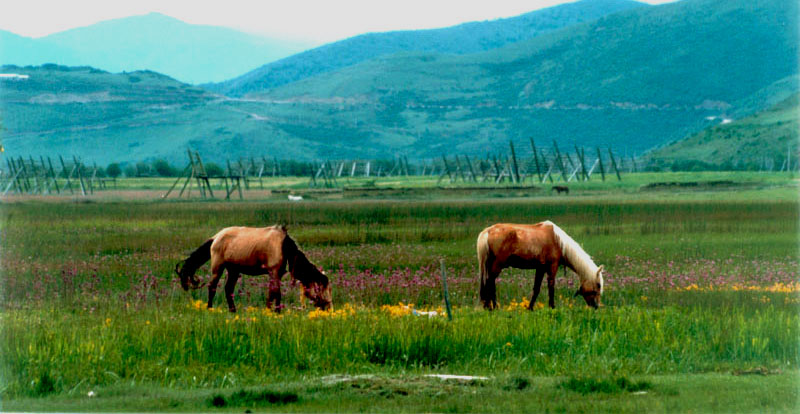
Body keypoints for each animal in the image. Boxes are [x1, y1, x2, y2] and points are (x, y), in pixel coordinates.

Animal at [175, 225, 332, 312]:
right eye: (322, 288)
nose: (329, 307)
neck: (283, 246)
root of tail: (215, 237)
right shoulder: (273, 271)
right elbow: (276, 293)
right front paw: (275, 312)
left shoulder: (277, 273)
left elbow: (272, 293)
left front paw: (271, 310)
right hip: (218, 267)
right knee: (212, 287)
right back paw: (210, 308)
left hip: (234, 270)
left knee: (228, 289)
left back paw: (233, 310)